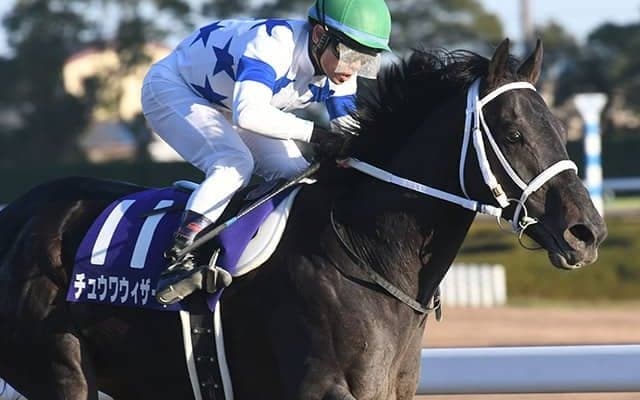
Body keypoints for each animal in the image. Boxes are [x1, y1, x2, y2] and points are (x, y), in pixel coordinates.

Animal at [0, 38, 606, 400]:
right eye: (514, 133)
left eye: (558, 125)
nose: (587, 232)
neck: (363, 250)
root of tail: (15, 217)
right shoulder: (322, 386)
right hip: (61, 374)